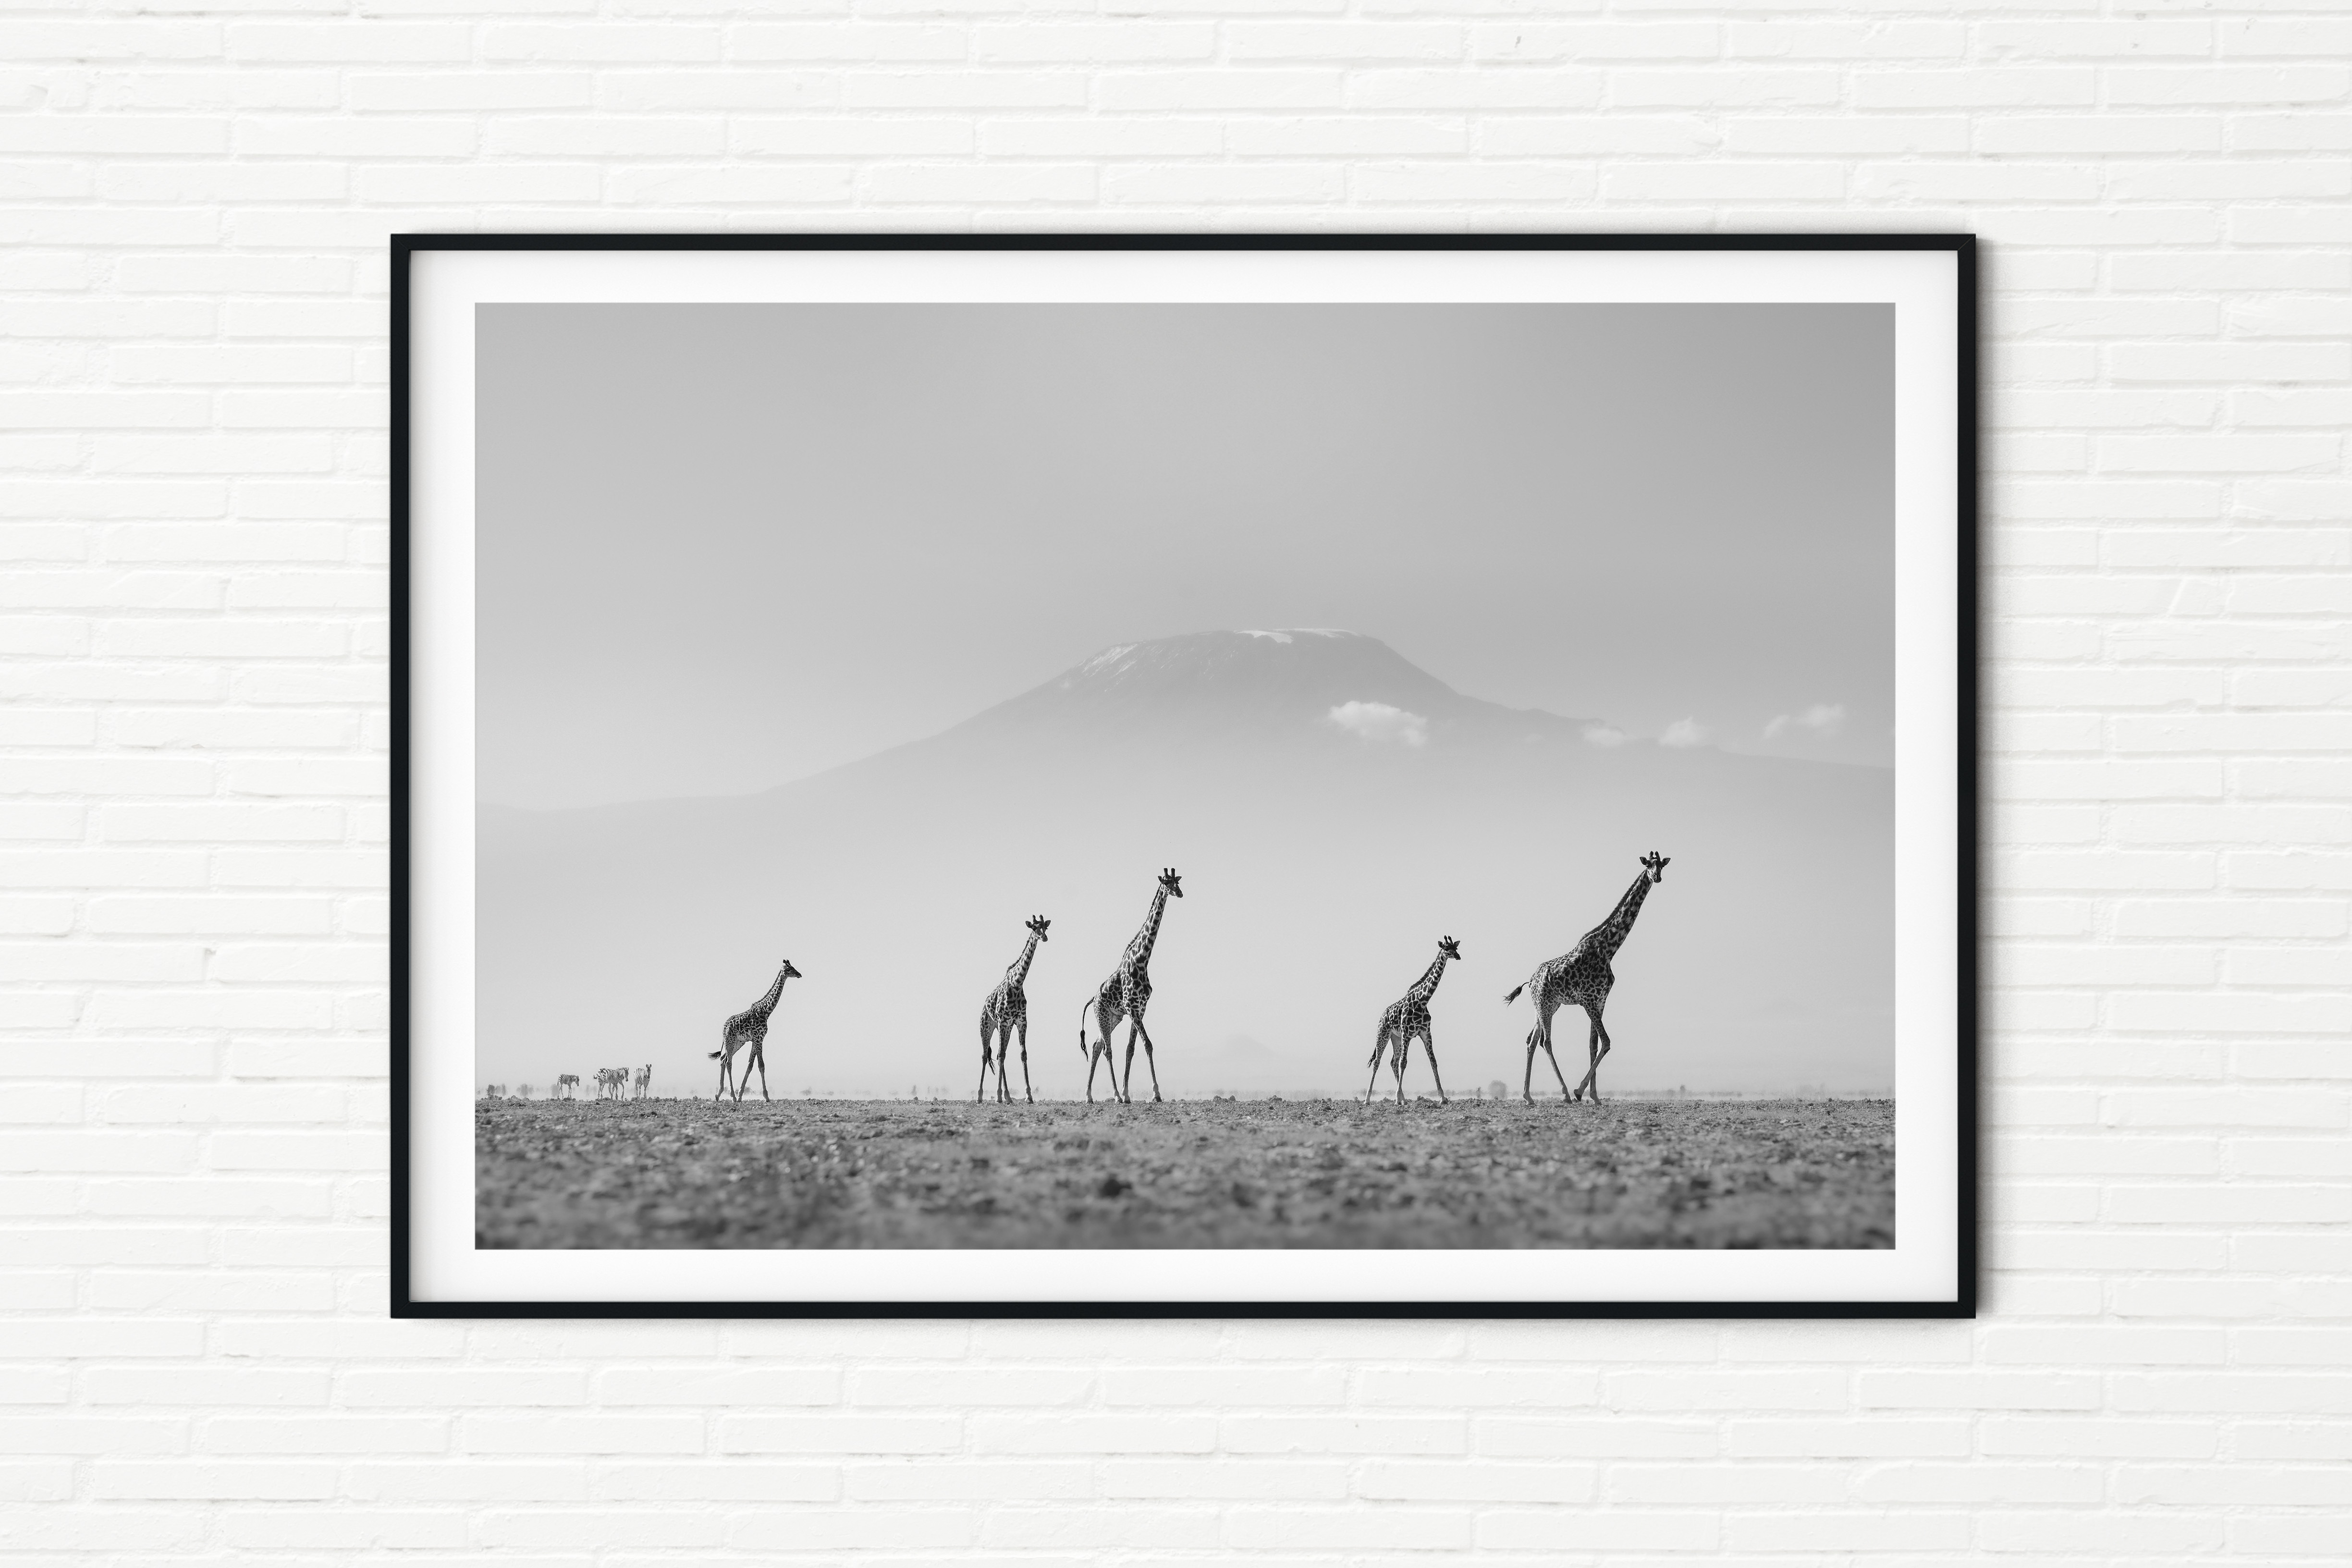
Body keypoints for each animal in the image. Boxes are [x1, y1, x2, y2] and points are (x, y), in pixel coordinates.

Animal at [712, 959, 802, 1103]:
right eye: (788, 969)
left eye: (794, 967)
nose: (799, 974)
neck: (766, 1012)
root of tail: (724, 1027)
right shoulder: (758, 1039)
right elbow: (761, 1065)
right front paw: (766, 1097)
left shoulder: (757, 1039)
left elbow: (750, 1065)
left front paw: (741, 1095)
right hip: (730, 1041)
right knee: (728, 1062)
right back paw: (732, 1096)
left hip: (739, 1042)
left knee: (723, 1059)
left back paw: (719, 1094)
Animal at [978, 916, 1050, 1104]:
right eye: (1034, 928)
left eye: (1045, 928)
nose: (1044, 938)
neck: (1017, 984)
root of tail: (983, 1007)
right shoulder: (1004, 1022)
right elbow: (1002, 1056)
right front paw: (998, 1096)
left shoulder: (1021, 1022)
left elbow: (1023, 1054)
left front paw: (1029, 1096)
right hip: (987, 1028)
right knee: (986, 1056)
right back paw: (980, 1096)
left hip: (1005, 1028)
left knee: (998, 1054)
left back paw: (1009, 1096)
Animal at [1080, 868, 1183, 1104]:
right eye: (1166, 883)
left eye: (1178, 881)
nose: (1180, 893)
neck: (1142, 961)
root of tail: (1093, 999)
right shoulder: (1131, 1008)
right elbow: (1147, 1044)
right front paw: (1155, 1093)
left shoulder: (1140, 1009)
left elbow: (1132, 1049)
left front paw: (1129, 1094)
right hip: (1103, 1016)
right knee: (1107, 1050)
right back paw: (1115, 1096)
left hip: (1113, 1019)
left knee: (1097, 1046)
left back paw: (1090, 1095)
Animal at [1365, 936, 1462, 1106]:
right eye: (1446, 948)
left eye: (1455, 948)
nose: (1458, 956)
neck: (1422, 1001)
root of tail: (1382, 1015)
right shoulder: (1407, 1033)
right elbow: (1404, 1063)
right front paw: (1397, 1098)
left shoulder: (1425, 1033)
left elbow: (1433, 1061)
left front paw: (1443, 1098)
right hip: (1383, 1035)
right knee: (1378, 1062)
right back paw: (1368, 1099)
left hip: (1395, 1038)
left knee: (1393, 1062)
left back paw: (1404, 1100)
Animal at [1504, 852, 1670, 1104]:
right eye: (1649, 865)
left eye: (1661, 865)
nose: (1657, 877)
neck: (1609, 949)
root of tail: (1530, 981)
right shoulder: (1588, 1001)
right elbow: (1607, 1042)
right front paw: (1579, 1091)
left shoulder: (1600, 1001)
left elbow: (1594, 1044)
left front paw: (1595, 1096)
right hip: (1544, 1006)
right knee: (1546, 1042)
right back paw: (1564, 1094)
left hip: (1547, 1006)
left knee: (1532, 1040)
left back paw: (1528, 1096)